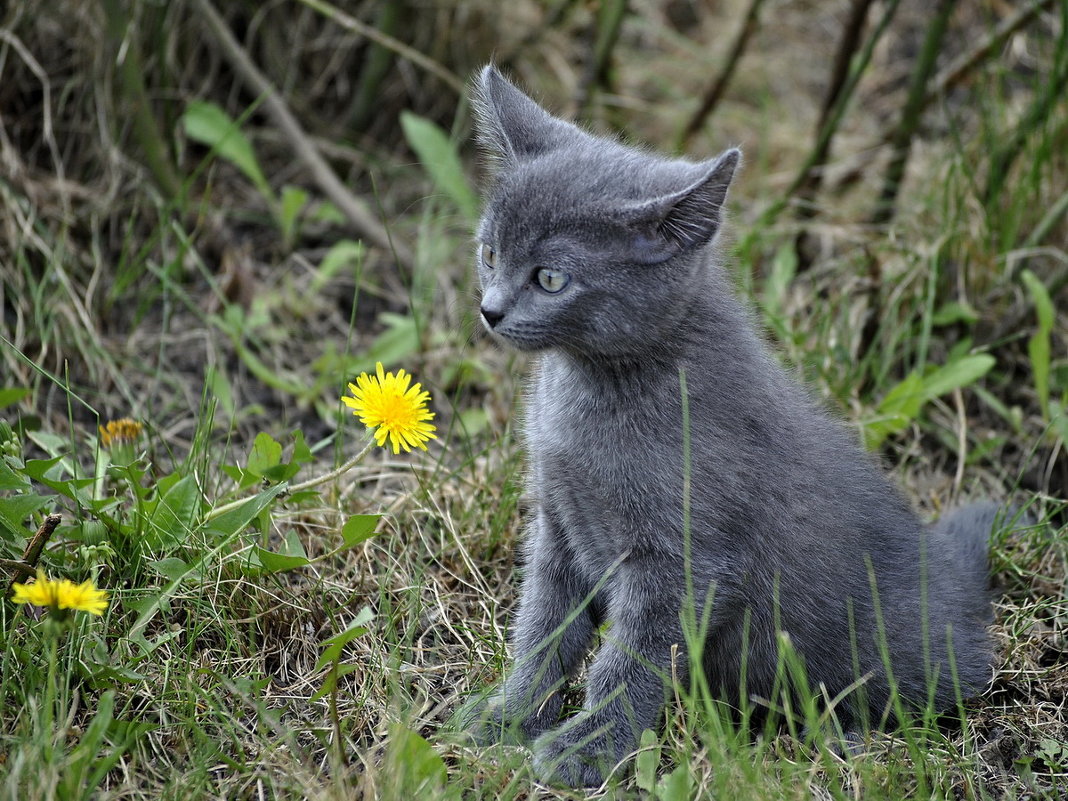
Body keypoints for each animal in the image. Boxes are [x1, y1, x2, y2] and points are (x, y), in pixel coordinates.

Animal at [467, 64, 999, 790]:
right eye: (490, 252)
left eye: (550, 278)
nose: (490, 310)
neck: (592, 387)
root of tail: (960, 578)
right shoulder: (559, 526)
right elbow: (543, 629)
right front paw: (507, 717)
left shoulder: (683, 560)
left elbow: (630, 660)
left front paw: (589, 750)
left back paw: (847, 735)